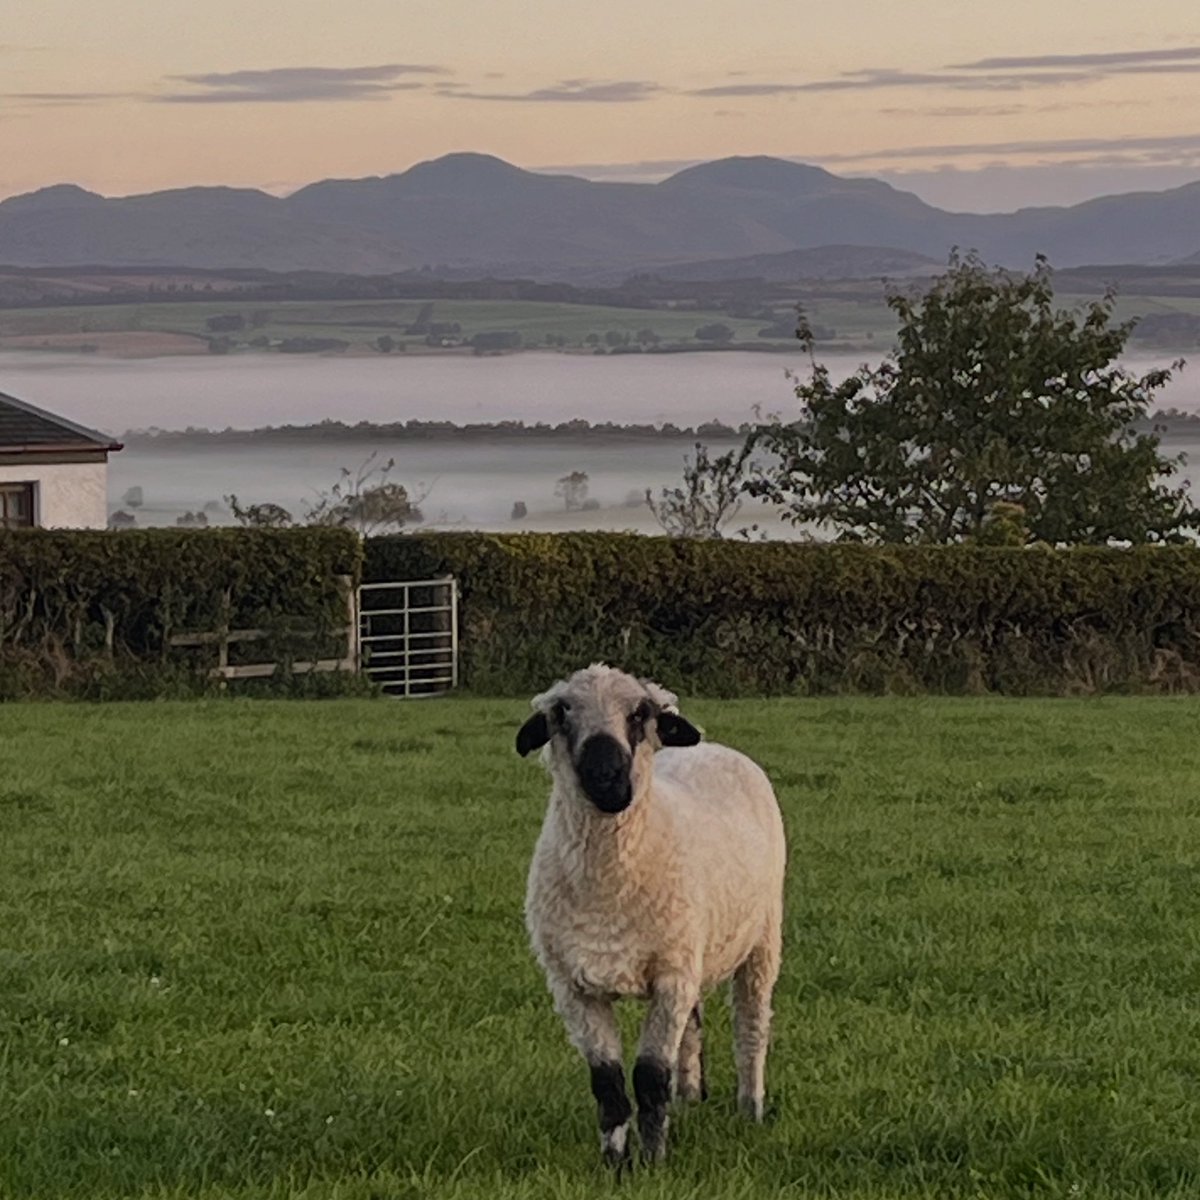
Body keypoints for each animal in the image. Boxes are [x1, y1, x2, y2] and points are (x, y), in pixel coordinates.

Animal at [516, 663, 786, 1167]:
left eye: (640, 713)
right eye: (562, 713)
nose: (606, 777)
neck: (608, 887)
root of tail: (711, 746)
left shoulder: (669, 978)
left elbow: (648, 1076)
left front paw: (654, 1161)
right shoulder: (573, 987)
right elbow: (608, 1084)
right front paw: (614, 1163)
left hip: (763, 937)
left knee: (752, 1026)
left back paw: (751, 1108)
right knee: (693, 1027)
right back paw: (691, 1096)